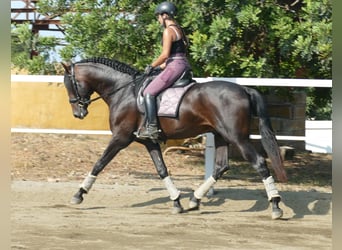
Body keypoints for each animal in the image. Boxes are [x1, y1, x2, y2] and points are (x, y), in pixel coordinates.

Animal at [62, 56, 288, 219]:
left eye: (69, 84)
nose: (78, 113)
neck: (123, 91)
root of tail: (244, 88)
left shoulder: (121, 138)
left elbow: (99, 164)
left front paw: (78, 194)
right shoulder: (149, 141)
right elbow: (162, 170)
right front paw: (177, 202)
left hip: (238, 138)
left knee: (259, 162)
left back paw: (276, 205)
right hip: (221, 135)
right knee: (221, 166)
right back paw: (195, 200)